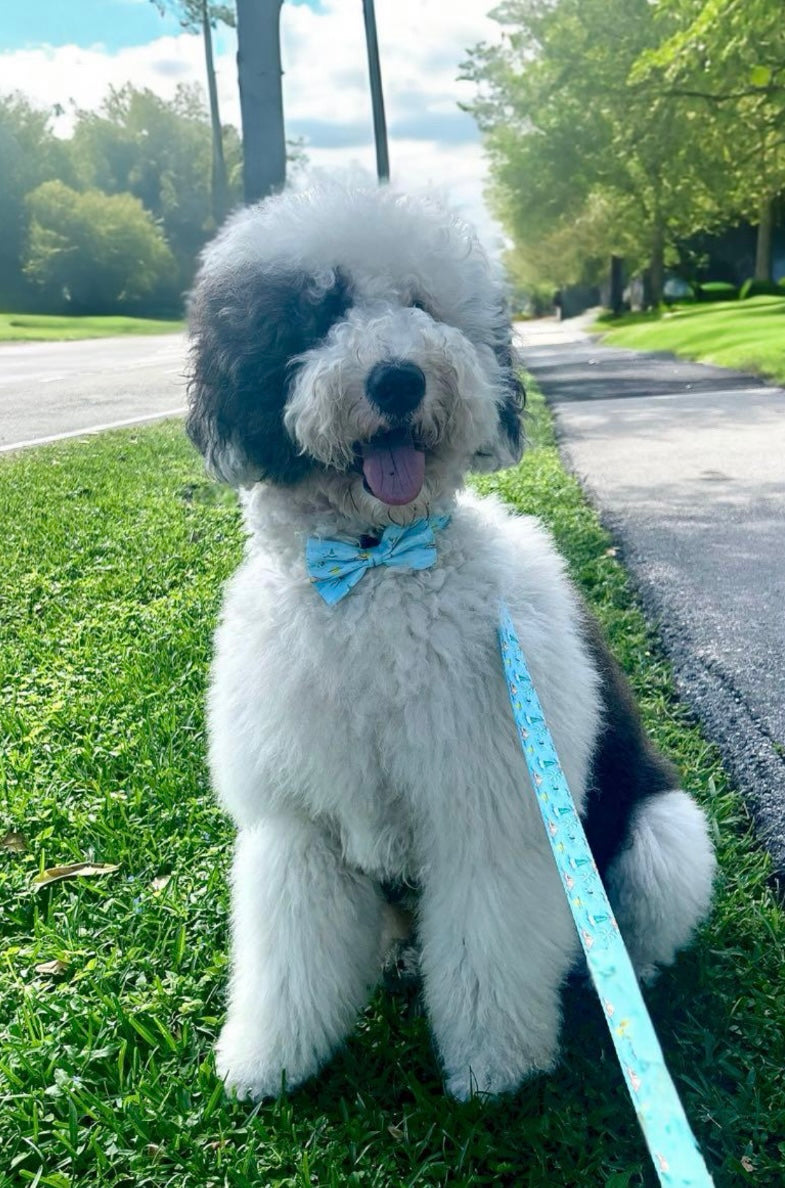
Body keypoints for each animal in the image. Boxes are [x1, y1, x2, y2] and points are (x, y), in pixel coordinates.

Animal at [185, 185, 717, 1102]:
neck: (375, 569)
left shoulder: (490, 811)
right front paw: (268, 1063)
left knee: (638, 925)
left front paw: (494, 1072)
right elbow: (290, 959)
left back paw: (618, 991)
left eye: (422, 304)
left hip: (661, 836)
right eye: (317, 308)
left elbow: (486, 952)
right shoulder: (294, 826)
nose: (397, 378)